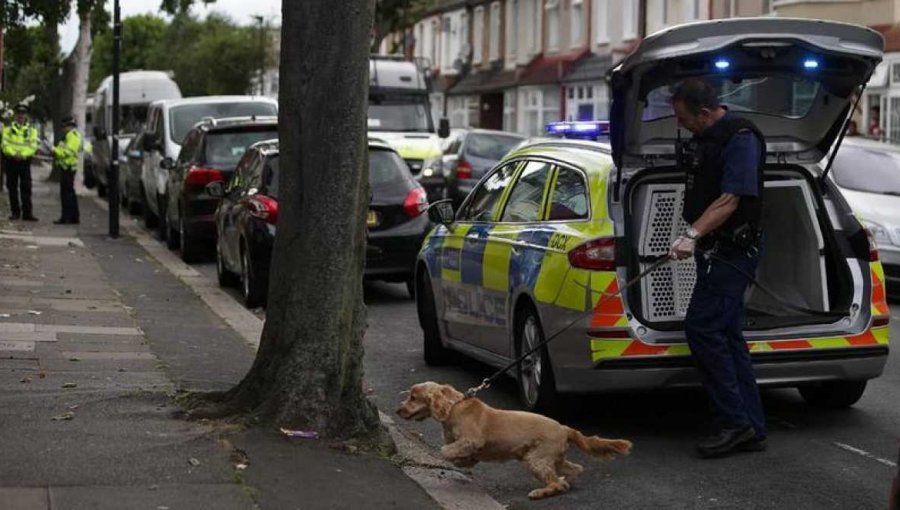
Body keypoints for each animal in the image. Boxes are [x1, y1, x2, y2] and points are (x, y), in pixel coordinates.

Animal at [394, 382, 632, 498]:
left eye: (413, 397)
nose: (398, 410)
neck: (454, 407)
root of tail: (565, 429)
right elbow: (462, 455)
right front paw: (464, 461)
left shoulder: (472, 440)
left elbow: (445, 450)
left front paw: (455, 459)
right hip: (551, 458)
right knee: (574, 470)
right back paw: (566, 481)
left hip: (536, 459)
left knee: (556, 483)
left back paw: (541, 492)